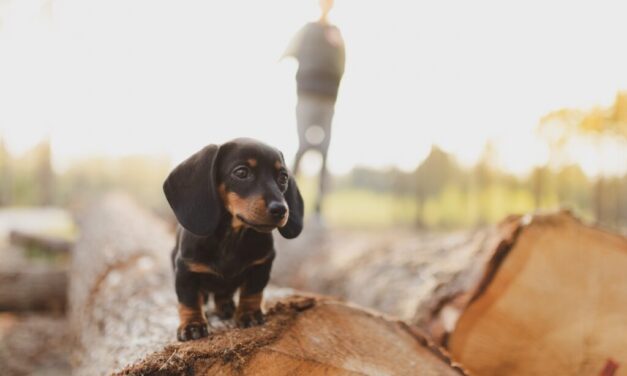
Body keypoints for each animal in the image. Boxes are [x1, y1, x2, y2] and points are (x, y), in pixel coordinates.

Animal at [163, 137, 306, 340]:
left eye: (283, 177)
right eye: (241, 172)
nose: (281, 210)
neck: (232, 237)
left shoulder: (261, 265)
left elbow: (252, 292)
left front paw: (249, 314)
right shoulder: (186, 270)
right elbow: (188, 299)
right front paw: (192, 325)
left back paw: (226, 306)